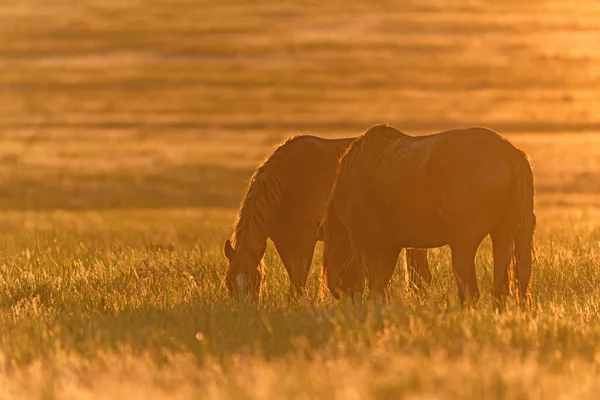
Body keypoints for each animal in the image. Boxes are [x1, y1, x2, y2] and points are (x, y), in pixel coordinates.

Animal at [223, 134, 428, 300]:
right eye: (228, 283)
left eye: (255, 281)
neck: (288, 183)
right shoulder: (283, 240)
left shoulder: (303, 241)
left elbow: (298, 282)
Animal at [322, 124, 536, 306]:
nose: (337, 292)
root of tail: (510, 154)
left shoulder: (372, 243)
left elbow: (377, 283)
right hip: (506, 232)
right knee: (511, 283)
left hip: (464, 242)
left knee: (470, 289)